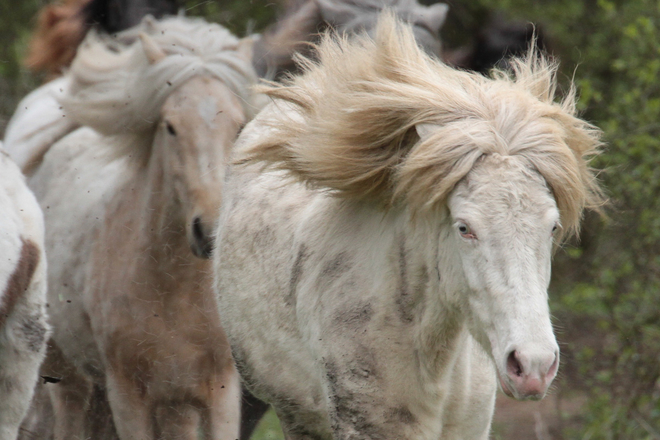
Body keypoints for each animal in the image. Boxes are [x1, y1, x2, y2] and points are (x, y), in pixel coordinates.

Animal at [13, 15, 258, 438]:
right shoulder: (128, 396)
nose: (209, 232)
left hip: (177, 404)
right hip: (66, 372)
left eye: (238, 127)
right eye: (170, 127)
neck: (175, 291)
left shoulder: (221, 392)